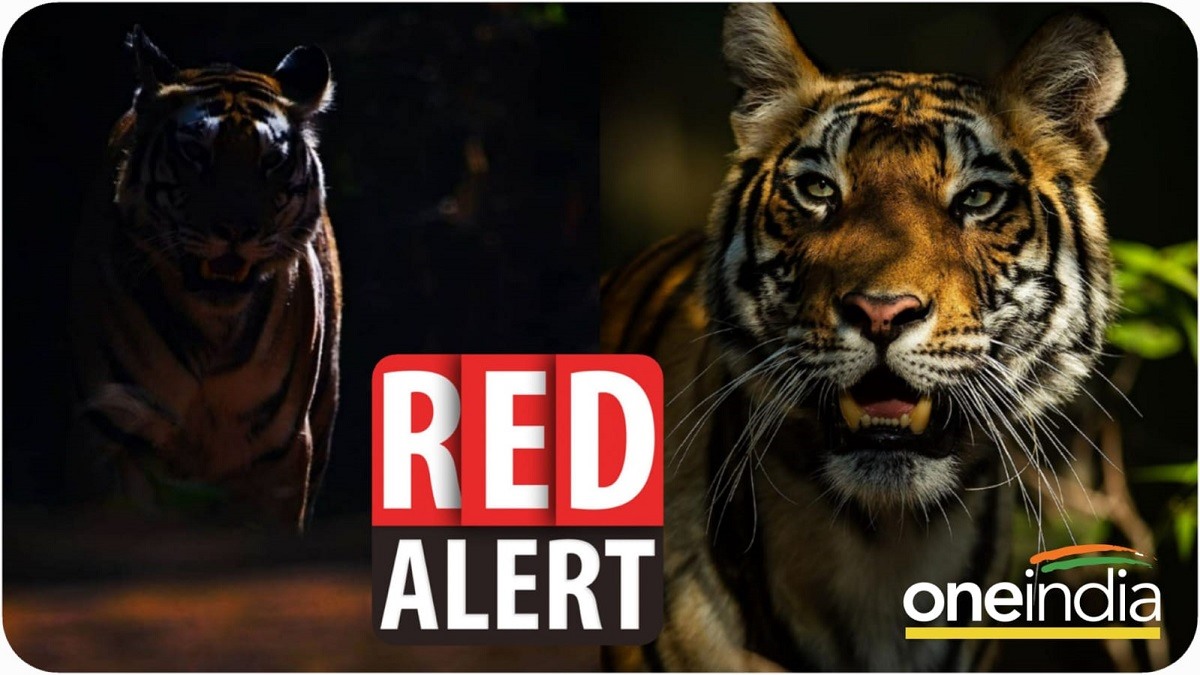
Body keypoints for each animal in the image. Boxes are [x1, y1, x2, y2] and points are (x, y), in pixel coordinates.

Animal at [68, 27, 342, 531]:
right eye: (196, 153)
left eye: (271, 160)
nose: (236, 229)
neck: (214, 330)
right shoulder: (110, 435)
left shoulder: (281, 454)